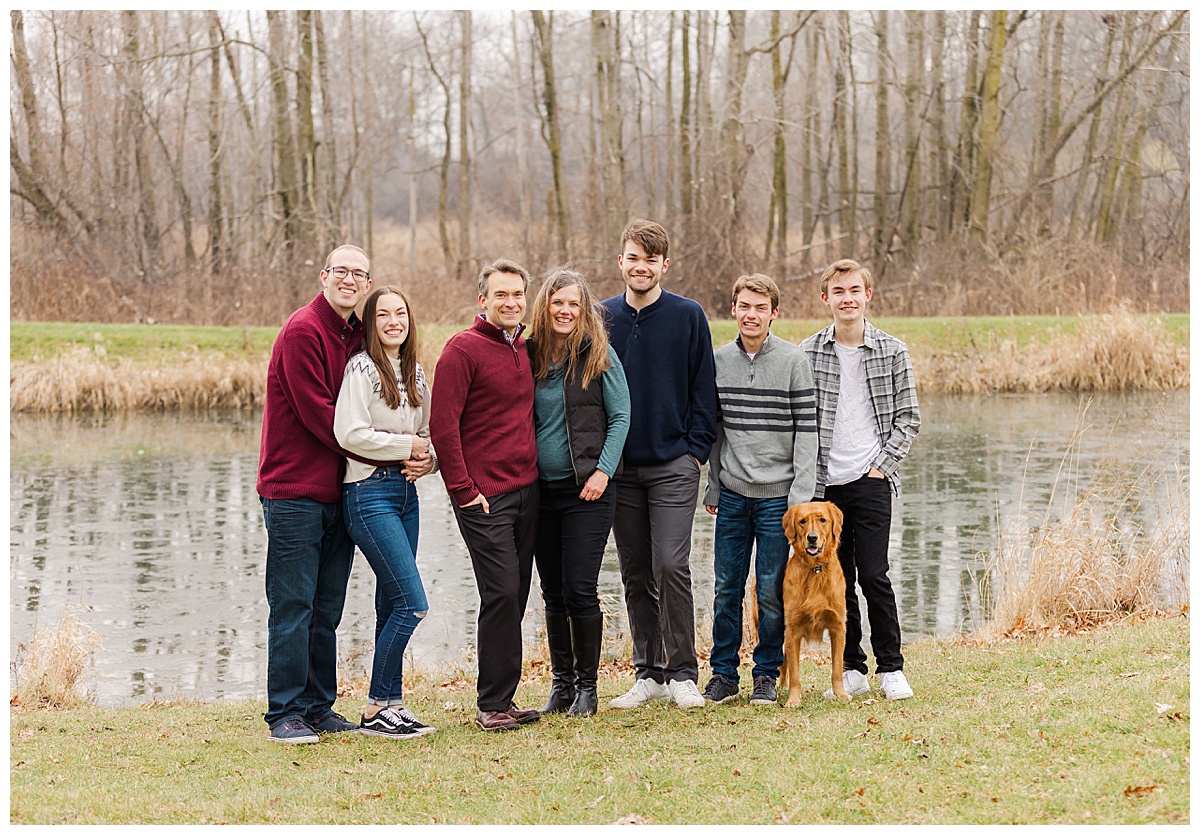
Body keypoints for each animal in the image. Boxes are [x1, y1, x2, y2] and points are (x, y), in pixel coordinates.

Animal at [772, 501, 849, 705]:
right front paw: (793, 700)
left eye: (822, 520)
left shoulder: (838, 627)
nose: (812, 538)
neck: (815, 569)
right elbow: (795, 673)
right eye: (802, 521)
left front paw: (841, 694)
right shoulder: (792, 629)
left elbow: (837, 668)